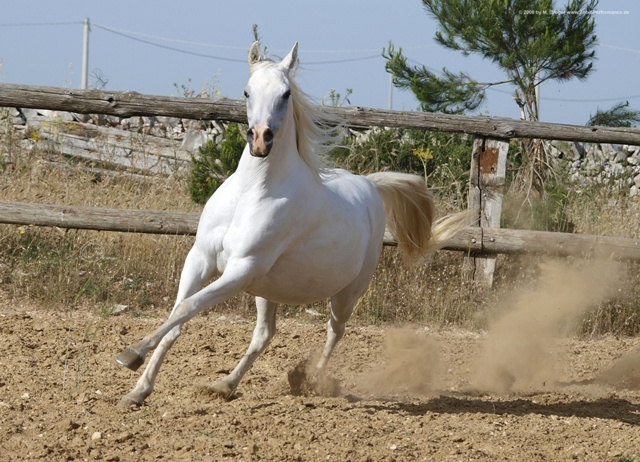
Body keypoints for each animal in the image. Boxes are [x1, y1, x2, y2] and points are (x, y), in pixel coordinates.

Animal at [115, 41, 468, 406]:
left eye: (285, 94)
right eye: (246, 91)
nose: (260, 140)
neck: (252, 192)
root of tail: (369, 185)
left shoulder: (243, 267)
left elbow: (188, 306)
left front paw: (132, 353)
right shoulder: (201, 257)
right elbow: (177, 318)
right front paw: (138, 390)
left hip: (345, 293)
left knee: (335, 330)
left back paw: (310, 380)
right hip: (266, 287)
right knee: (265, 334)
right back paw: (224, 385)